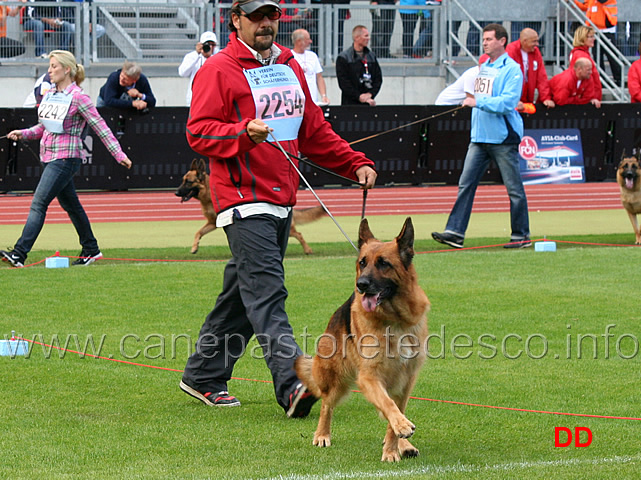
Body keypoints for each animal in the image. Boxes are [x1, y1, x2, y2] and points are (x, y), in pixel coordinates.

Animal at [175, 158, 324, 255]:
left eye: (188, 182)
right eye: (182, 180)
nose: (176, 193)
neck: (208, 195)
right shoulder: (213, 223)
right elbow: (198, 232)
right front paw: (194, 247)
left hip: (289, 229)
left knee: (299, 234)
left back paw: (308, 250)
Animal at [296, 218, 430, 462]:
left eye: (384, 263)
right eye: (362, 262)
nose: (361, 284)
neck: (394, 320)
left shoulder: (406, 381)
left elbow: (394, 411)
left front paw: (393, 448)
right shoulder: (369, 377)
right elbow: (387, 404)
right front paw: (398, 435)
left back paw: (403, 444)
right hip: (335, 380)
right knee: (326, 405)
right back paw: (322, 435)